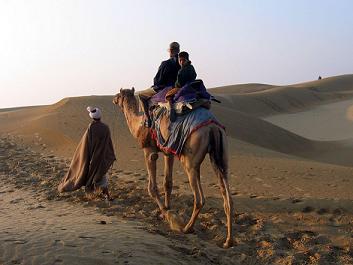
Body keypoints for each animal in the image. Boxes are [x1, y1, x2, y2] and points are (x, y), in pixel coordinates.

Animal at [113, 87, 234, 246]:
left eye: (118, 95)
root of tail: (212, 127)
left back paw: (186, 228)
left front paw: (168, 215)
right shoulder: (168, 151)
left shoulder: (149, 151)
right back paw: (228, 241)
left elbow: (152, 188)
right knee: (227, 196)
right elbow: (167, 183)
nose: (113, 99)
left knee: (199, 198)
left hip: (190, 159)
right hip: (220, 154)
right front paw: (166, 209)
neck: (137, 124)